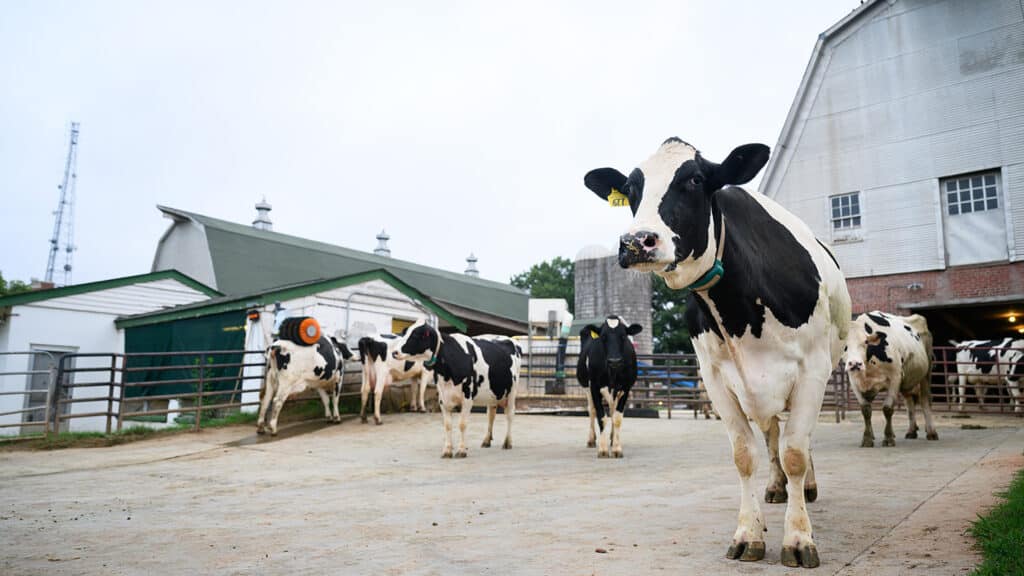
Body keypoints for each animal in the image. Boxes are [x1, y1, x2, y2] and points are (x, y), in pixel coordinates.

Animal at [391, 317, 520, 457]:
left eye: (415, 335)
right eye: (405, 332)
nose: (394, 352)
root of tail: (504, 338)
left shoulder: (467, 398)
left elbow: (462, 424)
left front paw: (462, 450)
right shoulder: (443, 398)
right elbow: (447, 425)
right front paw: (447, 450)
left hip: (512, 392)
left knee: (510, 414)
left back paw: (507, 442)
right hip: (492, 394)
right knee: (491, 414)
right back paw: (486, 440)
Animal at [577, 315, 638, 455]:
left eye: (623, 336)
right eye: (603, 336)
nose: (614, 361)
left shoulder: (626, 387)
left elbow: (617, 417)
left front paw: (616, 448)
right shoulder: (594, 386)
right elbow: (601, 417)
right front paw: (603, 449)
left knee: (612, 409)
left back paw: (612, 437)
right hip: (587, 387)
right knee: (592, 410)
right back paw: (591, 440)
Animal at [585, 138, 847, 565]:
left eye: (695, 179)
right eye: (630, 189)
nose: (636, 241)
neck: (740, 307)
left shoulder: (812, 370)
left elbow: (795, 451)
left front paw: (798, 538)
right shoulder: (715, 378)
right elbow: (745, 454)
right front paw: (748, 533)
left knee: (797, 441)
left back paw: (804, 489)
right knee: (772, 433)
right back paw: (775, 488)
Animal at [843, 311, 937, 446]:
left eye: (865, 342)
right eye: (843, 345)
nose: (855, 363)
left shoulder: (895, 378)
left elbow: (887, 408)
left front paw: (888, 438)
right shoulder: (855, 382)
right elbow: (866, 410)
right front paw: (867, 438)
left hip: (925, 373)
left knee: (925, 400)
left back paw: (931, 432)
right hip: (907, 379)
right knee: (909, 403)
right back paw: (911, 431)